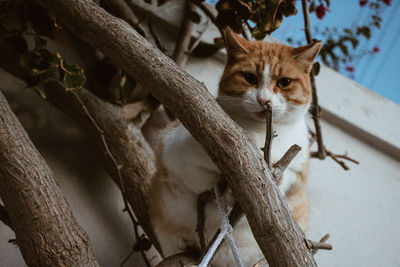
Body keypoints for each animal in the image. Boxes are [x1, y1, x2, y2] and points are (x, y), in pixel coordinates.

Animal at [149, 28, 322, 266]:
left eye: (284, 82)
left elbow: (283, 180)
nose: (264, 100)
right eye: (249, 78)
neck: (259, 133)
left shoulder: (297, 172)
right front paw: (227, 189)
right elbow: (205, 178)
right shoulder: (172, 148)